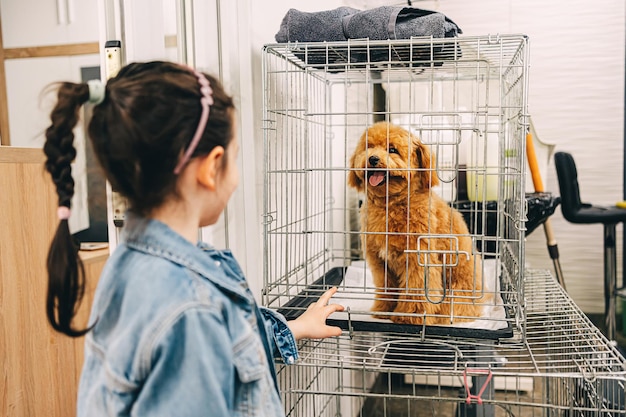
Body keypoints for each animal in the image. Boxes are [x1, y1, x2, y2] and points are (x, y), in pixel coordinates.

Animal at [346, 120, 482, 324]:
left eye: (392, 150)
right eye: (368, 147)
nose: (373, 159)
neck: (391, 205)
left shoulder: (419, 257)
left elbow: (417, 288)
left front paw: (410, 315)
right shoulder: (380, 262)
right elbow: (386, 287)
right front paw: (383, 309)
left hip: (458, 289)